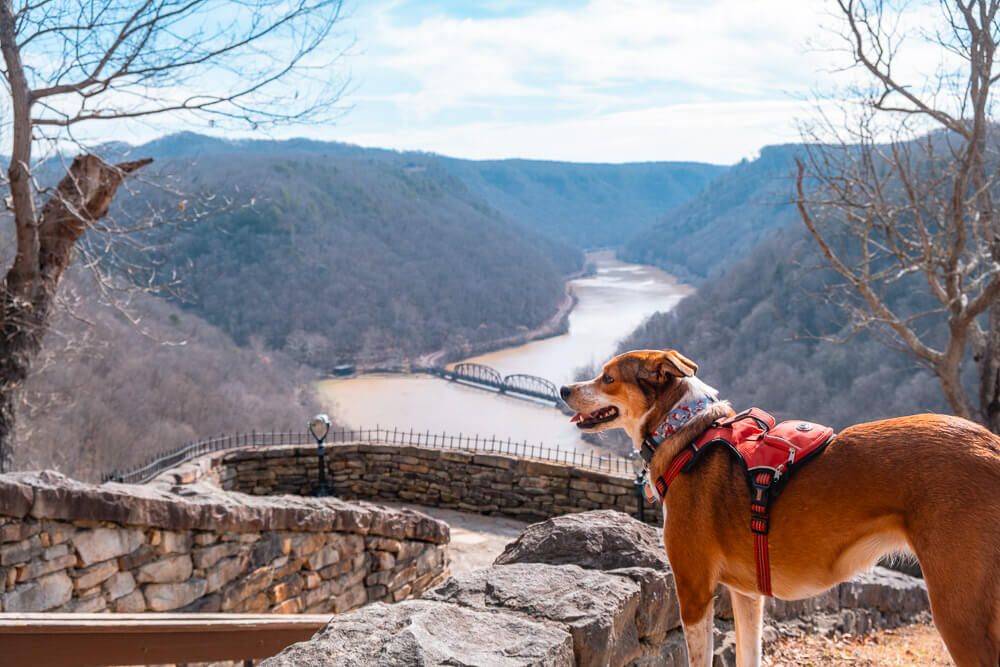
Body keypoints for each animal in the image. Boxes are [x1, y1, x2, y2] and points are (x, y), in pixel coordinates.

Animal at [560, 350, 1000, 667]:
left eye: (607, 378)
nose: (564, 388)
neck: (686, 432)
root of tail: (990, 443)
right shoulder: (747, 594)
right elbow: (748, 655)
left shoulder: (693, 588)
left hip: (963, 613)